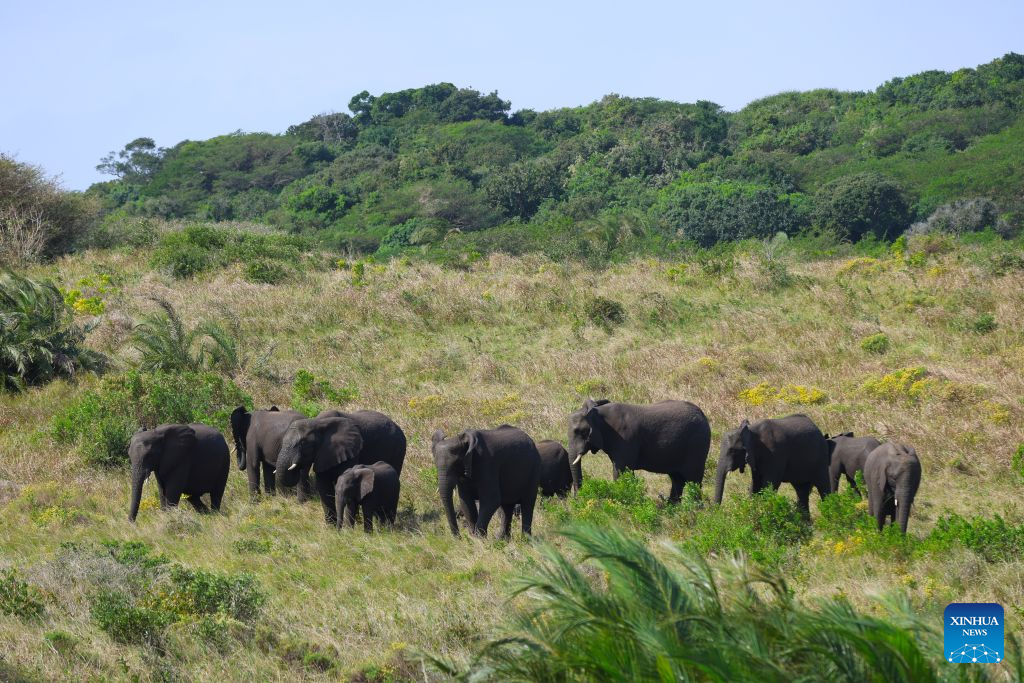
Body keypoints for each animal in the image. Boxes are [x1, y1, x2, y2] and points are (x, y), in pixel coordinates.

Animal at [275, 410, 406, 525]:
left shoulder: (350, 450)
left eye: (303, 443)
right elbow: (323, 486)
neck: (317, 423)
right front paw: (331, 527)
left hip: (398, 450)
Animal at [567, 399, 711, 502]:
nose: (576, 499)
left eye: (581, 432)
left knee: (693, 480)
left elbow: (621, 471)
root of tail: (704, 416)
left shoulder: (625, 438)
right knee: (677, 479)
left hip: (697, 446)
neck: (597, 412)